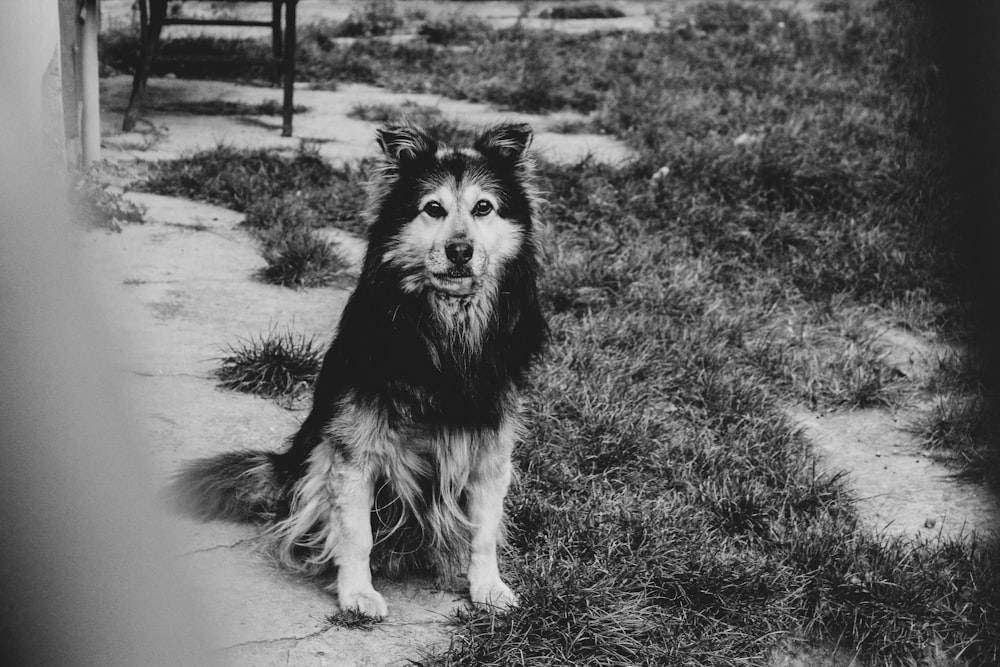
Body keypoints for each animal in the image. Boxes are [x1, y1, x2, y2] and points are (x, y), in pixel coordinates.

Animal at [172, 122, 548, 620]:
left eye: (483, 207)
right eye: (433, 208)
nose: (460, 251)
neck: (446, 330)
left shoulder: (490, 444)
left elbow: (484, 530)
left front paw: (488, 587)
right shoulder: (353, 447)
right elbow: (355, 532)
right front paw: (356, 592)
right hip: (312, 457)